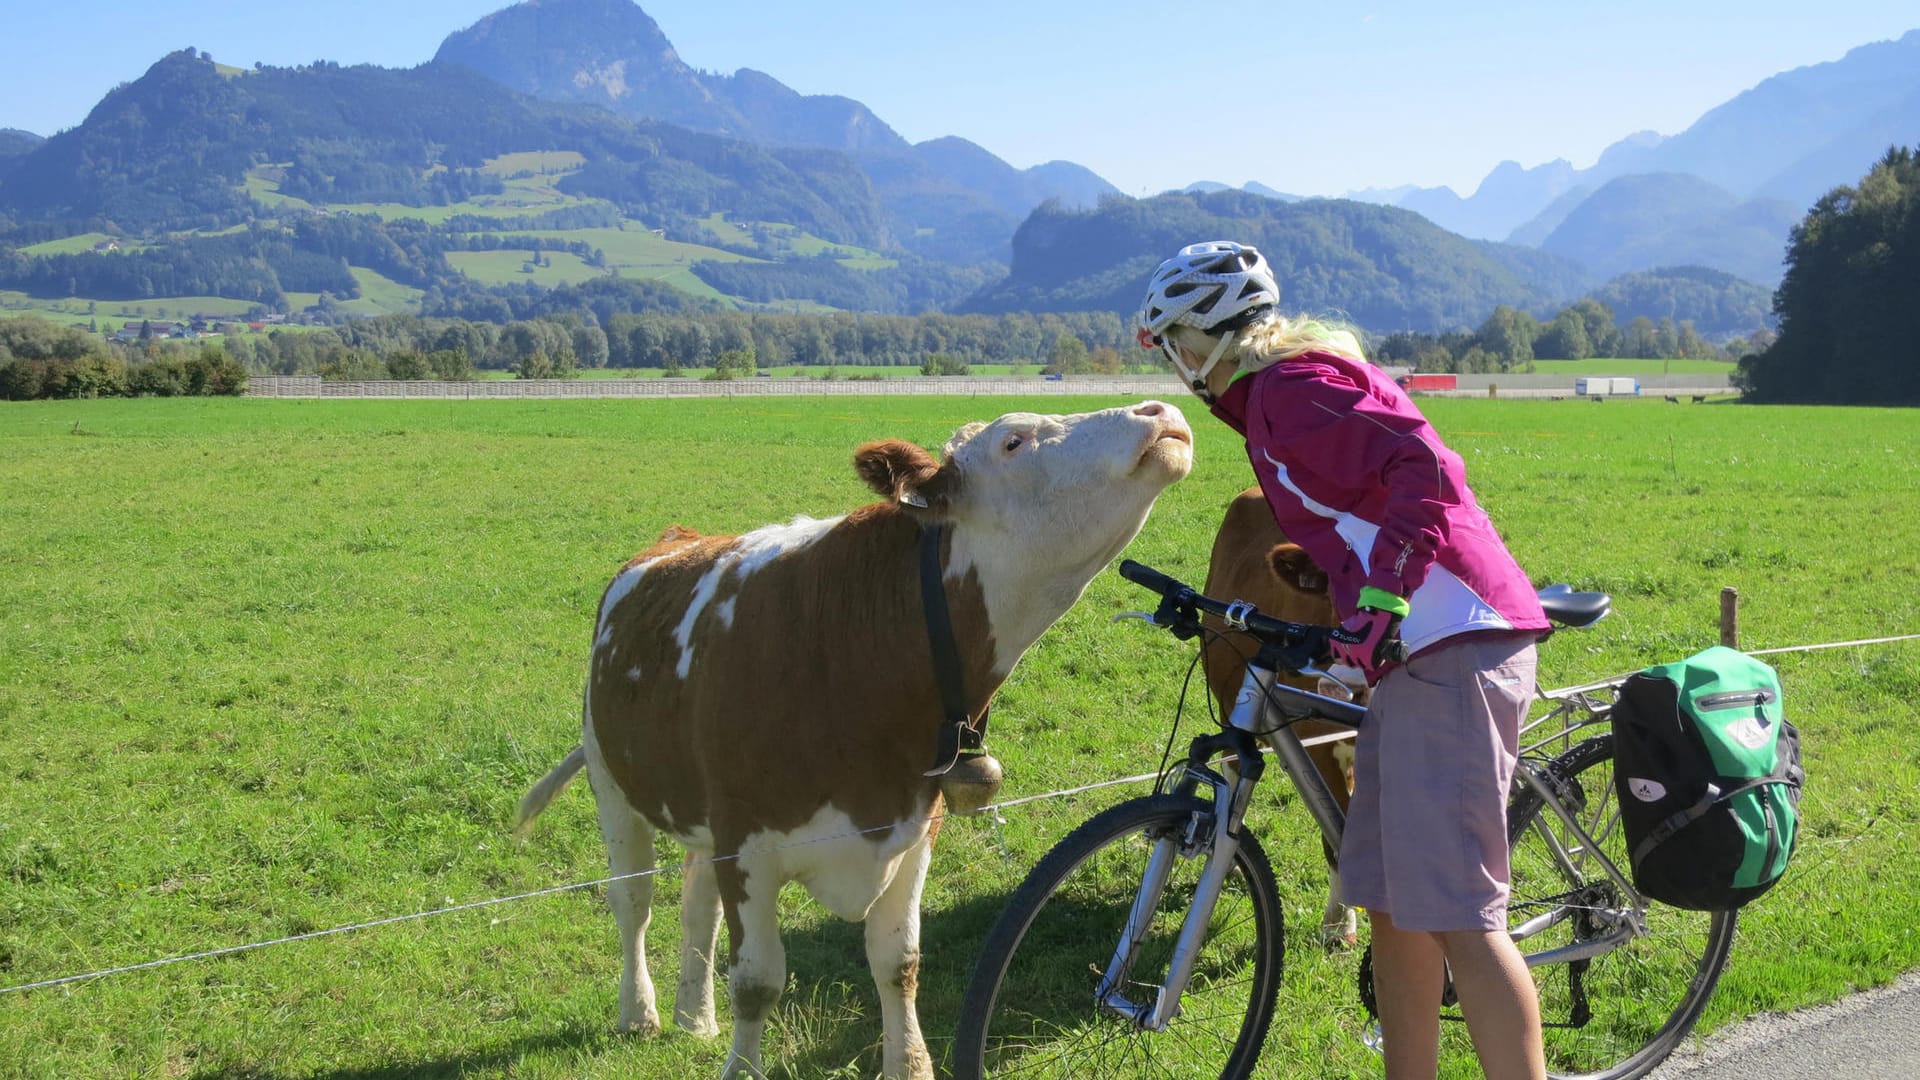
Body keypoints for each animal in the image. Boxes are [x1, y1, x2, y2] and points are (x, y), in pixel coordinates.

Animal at [518, 399, 1190, 1068]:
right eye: (1013, 441)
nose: (1157, 409)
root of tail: (675, 539)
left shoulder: (914, 830)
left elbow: (899, 965)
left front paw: (910, 1065)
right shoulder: (746, 845)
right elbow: (757, 983)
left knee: (695, 903)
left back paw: (695, 1017)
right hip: (612, 781)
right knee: (634, 901)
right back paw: (641, 1013)